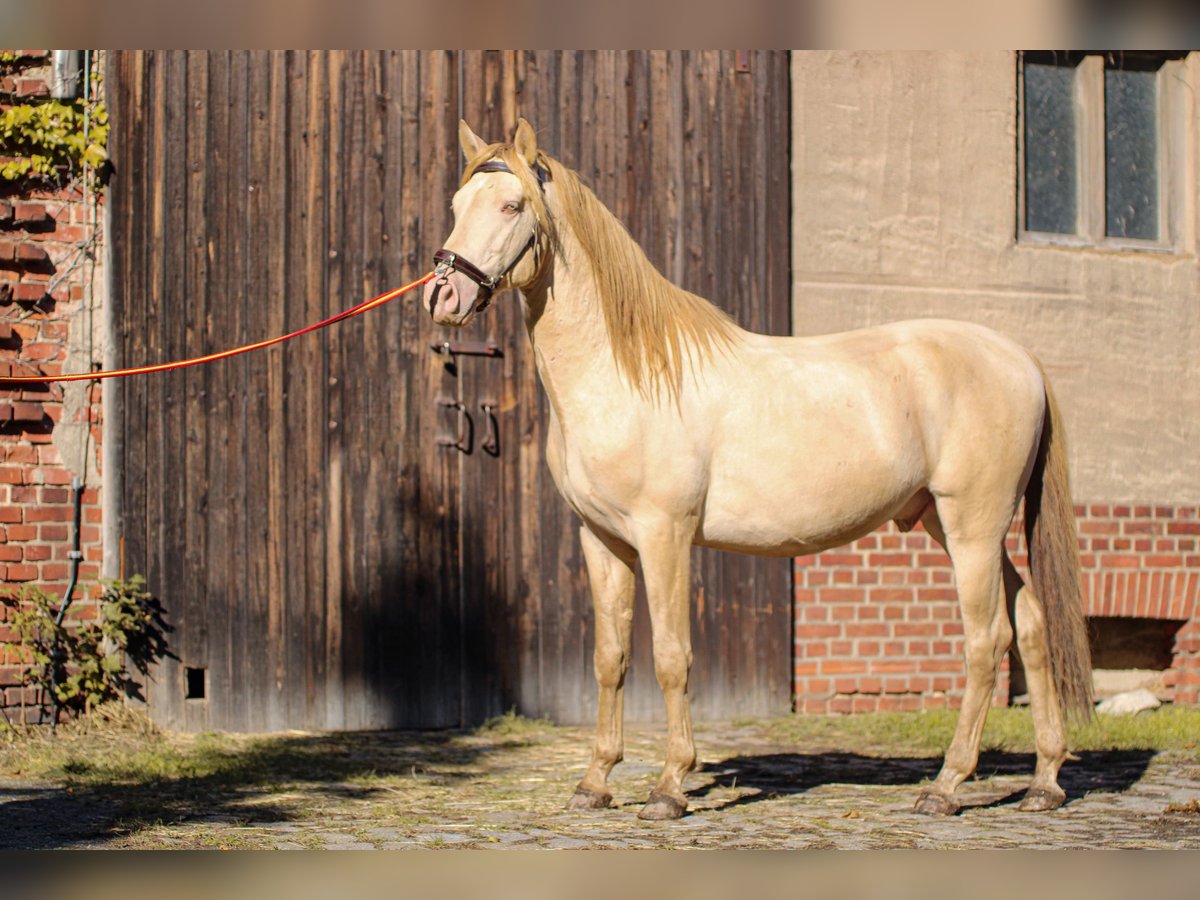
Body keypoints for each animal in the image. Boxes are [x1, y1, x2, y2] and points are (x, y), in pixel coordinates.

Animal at [427, 120, 1094, 825]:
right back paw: (1046, 781)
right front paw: (595, 782)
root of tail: (1019, 357)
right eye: (457, 204)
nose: (443, 295)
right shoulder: (602, 541)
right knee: (1031, 625)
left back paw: (946, 785)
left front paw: (669, 786)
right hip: (958, 526)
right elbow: (611, 658)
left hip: (972, 528)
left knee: (986, 640)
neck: (625, 373)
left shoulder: (664, 536)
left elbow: (671, 657)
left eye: (512, 205)